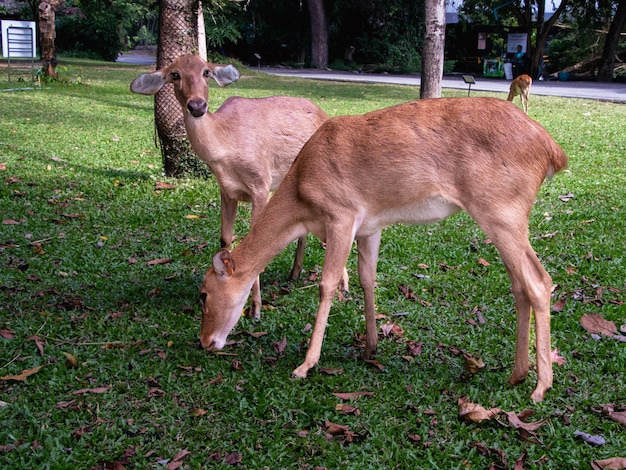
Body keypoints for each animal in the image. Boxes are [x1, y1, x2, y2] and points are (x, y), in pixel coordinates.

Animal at [129, 55, 330, 320]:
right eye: (174, 74)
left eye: (206, 72)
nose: (197, 106)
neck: (226, 148)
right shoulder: (226, 190)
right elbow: (225, 238)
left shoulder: (260, 182)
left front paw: (256, 308)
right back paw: (294, 273)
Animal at [199, 97, 564, 402]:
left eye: (204, 294)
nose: (205, 342)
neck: (301, 197)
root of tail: (554, 151)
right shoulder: (370, 227)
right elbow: (367, 277)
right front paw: (370, 347)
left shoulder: (342, 214)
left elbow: (328, 283)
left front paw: (305, 365)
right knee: (520, 285)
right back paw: (517, 374)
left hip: (501, 211)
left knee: (539, 282)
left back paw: (540, 387)